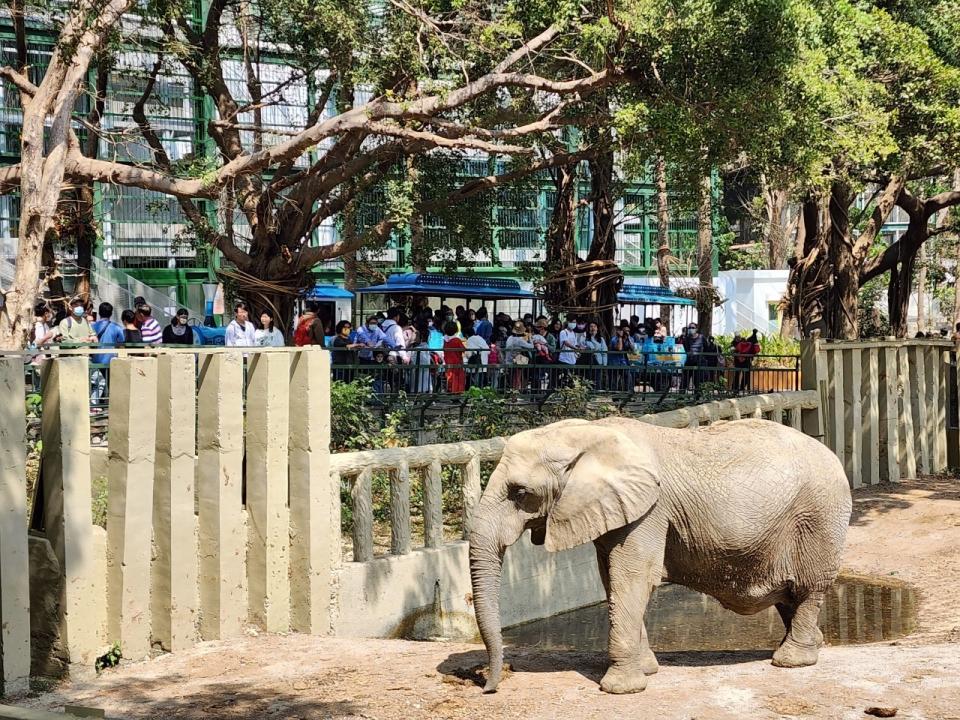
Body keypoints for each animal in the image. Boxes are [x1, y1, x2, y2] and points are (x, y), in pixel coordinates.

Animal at [468, 416, 852, 692]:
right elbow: (611, 579)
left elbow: (633, 577)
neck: (589, 434)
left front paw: (620, 689)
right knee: (789, 595)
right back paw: (811, 644)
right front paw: (648, 670)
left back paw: (791, 660)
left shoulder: (650, 510)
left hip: (818, 517)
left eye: (520, 493)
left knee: (808, 589)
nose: (488, 687)